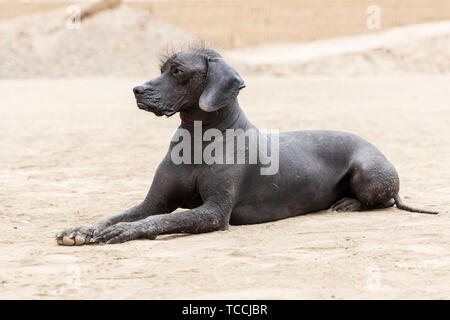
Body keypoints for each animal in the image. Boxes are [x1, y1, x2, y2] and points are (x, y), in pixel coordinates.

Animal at [54, 47, 438, 246]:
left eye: (177, 71)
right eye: (162, 68)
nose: (136, 90)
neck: (199, 138)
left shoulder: (213, 213)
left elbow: (161, 220)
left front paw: (122, 232)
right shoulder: (153, 201)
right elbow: (125, 213)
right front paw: (82, 229)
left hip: (369, 174)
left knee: (382, 199)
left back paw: (348, 203)